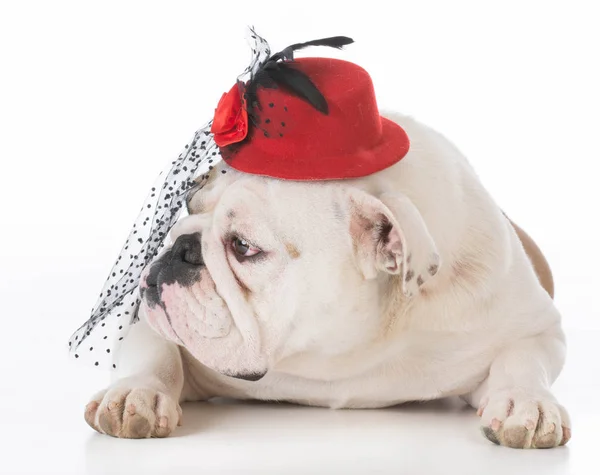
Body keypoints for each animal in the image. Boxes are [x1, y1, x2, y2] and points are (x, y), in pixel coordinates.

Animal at [82, 112, 568, 450]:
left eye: (243, 246)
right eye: (188, 204)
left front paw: (526, 404)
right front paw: (135, 395)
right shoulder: (148, 322)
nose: (179, 248)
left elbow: (523, 360)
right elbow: (155, 352)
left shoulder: (529, 324)